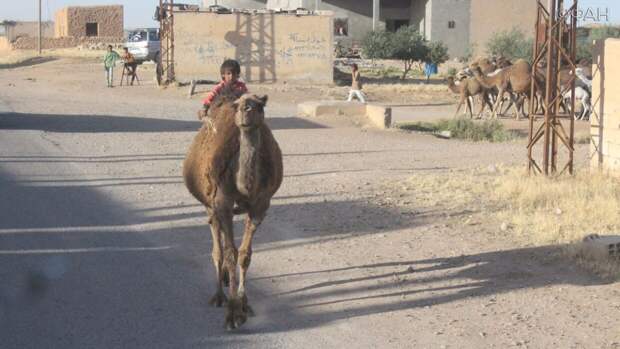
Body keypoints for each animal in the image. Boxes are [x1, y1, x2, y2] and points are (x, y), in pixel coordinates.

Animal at [182, 91, 284, 328]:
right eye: (237, 106)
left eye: (260, 105)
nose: (246, 110)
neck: (244, 186)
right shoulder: (223, 203)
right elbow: (230, 253)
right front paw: (232, 313)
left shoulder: (259, 207)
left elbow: (245, 254)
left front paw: (244, 304)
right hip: (210, 206)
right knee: (217, 245)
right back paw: (219, 295)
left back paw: (227, 280)